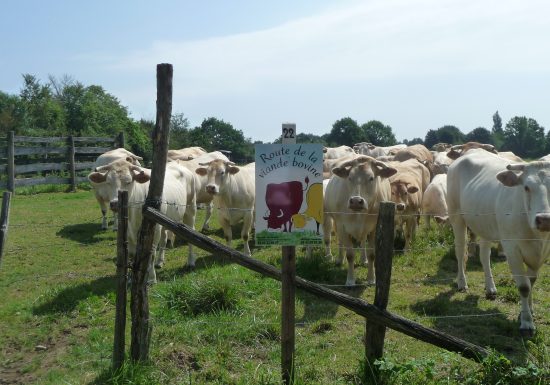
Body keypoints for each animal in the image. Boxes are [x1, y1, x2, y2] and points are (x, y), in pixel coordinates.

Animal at [324, 154, 396, 284]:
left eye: (371, 178)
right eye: (350, 177)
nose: (356, 201)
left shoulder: (374, 228)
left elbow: (372, 254)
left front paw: (371, 278)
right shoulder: (343, 226)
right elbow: (350, 255)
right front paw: (350, 280)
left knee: (362, 241)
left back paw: (363, 259)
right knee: (341, 242)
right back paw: (340, 259)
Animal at [448, 148, 550, 334]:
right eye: (526, 187)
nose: (545, 220)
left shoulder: (543, 252)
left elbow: (531, 282)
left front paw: (529, 310)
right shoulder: (512, 249)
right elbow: (524, 286)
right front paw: (526, 322)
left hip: (485, 225)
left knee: (484, 255)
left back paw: (490, 288)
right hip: (457, 217)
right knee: (460, 251)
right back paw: (462, 282)